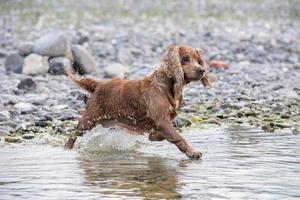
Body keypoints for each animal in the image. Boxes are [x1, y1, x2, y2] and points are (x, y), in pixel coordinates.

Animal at [65, 45, 211, 159]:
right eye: (185, 58)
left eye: (198, 60)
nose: (201, 70)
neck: (167, 85)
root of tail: (98, 84)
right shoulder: (162, 119)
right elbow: (178, 137)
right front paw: (192, 152)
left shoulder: (164, 120)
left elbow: (162, 135)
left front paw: (153, 136)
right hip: (88, 120)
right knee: (73, 134)